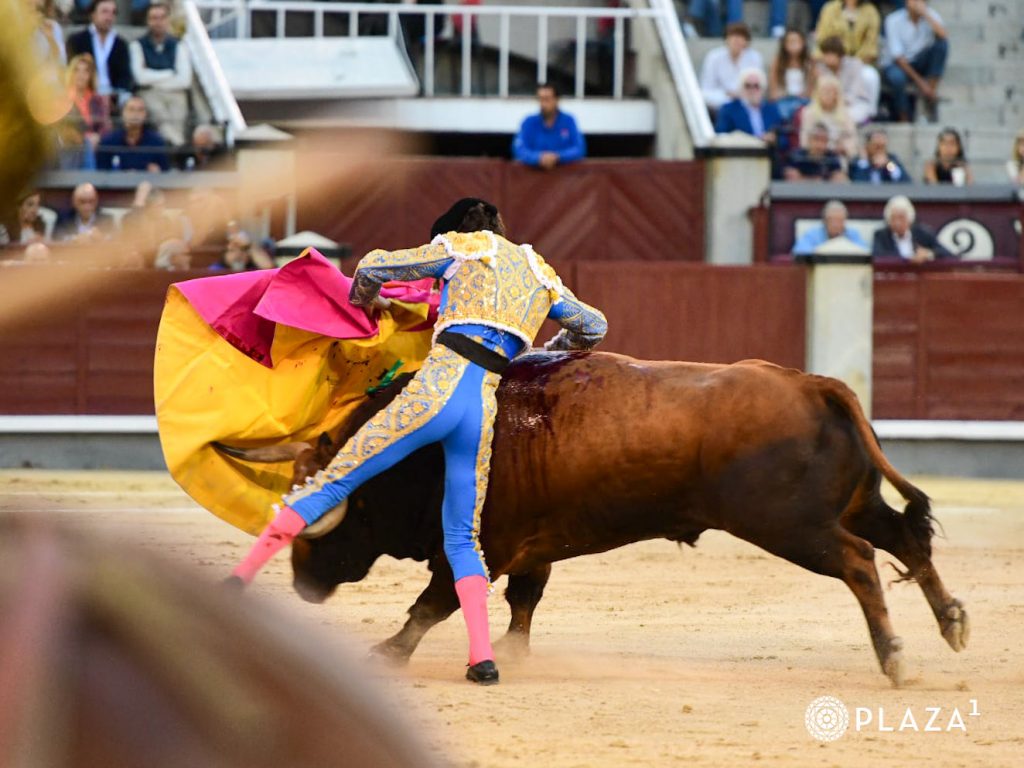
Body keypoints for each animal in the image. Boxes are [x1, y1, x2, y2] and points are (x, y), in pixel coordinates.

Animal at [217, 351, 970, 687]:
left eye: (331, 514)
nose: (303, 585)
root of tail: (814, 383)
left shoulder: (485, 542)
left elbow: (436, 601)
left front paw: (388, 652)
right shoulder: (533, 546)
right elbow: (524, 600)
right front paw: (516, 655)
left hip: (791, 525)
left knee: (859, 561)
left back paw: (896, 658)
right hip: (852, 503)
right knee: (905, 538)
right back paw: (952, 624)